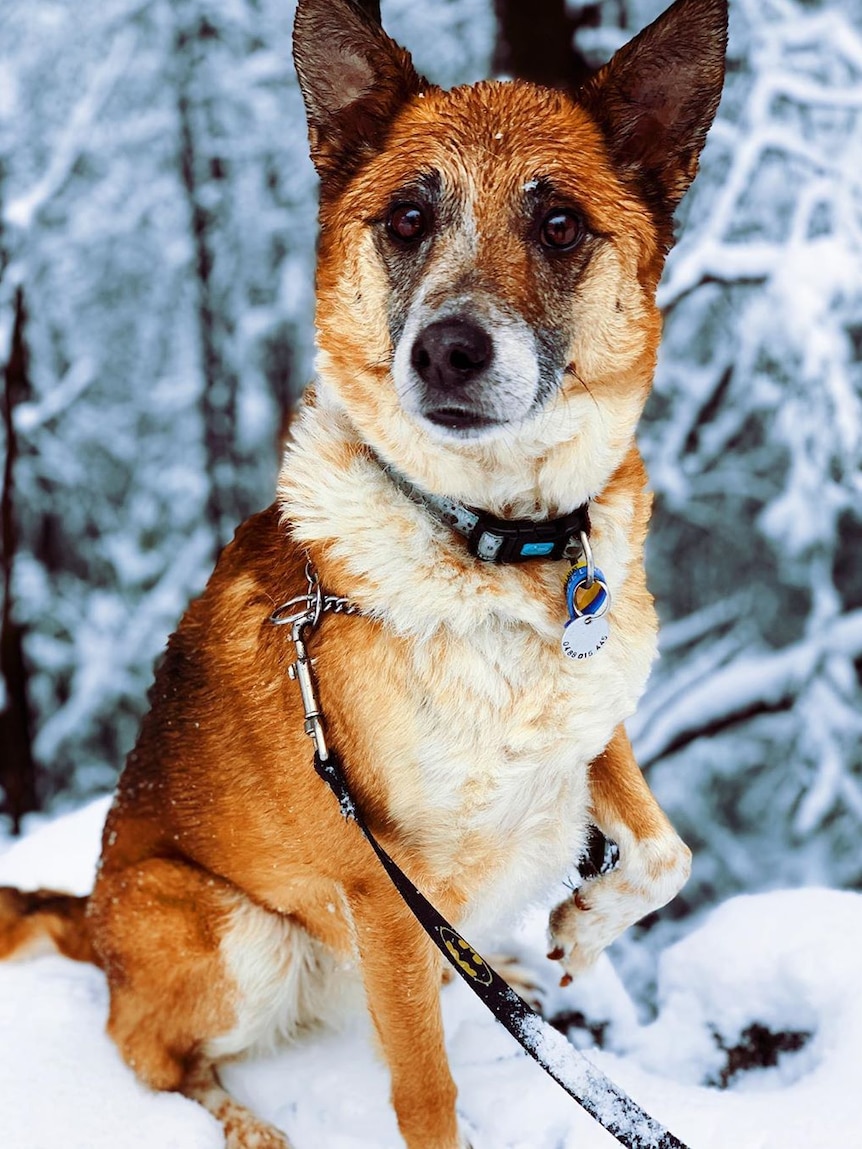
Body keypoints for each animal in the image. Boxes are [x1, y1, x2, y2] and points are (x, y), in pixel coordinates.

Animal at [0, 0, 730, 1144]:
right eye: (407, 219)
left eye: (560, 225)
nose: (448, 350)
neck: (490, 542)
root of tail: (93, 922)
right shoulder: (385, 889)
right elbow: (424, 1087)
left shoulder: (591, 720)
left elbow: (666, 851)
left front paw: (577, 926)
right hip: (233, 932)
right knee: (145, 1050)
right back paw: (241, 1119)